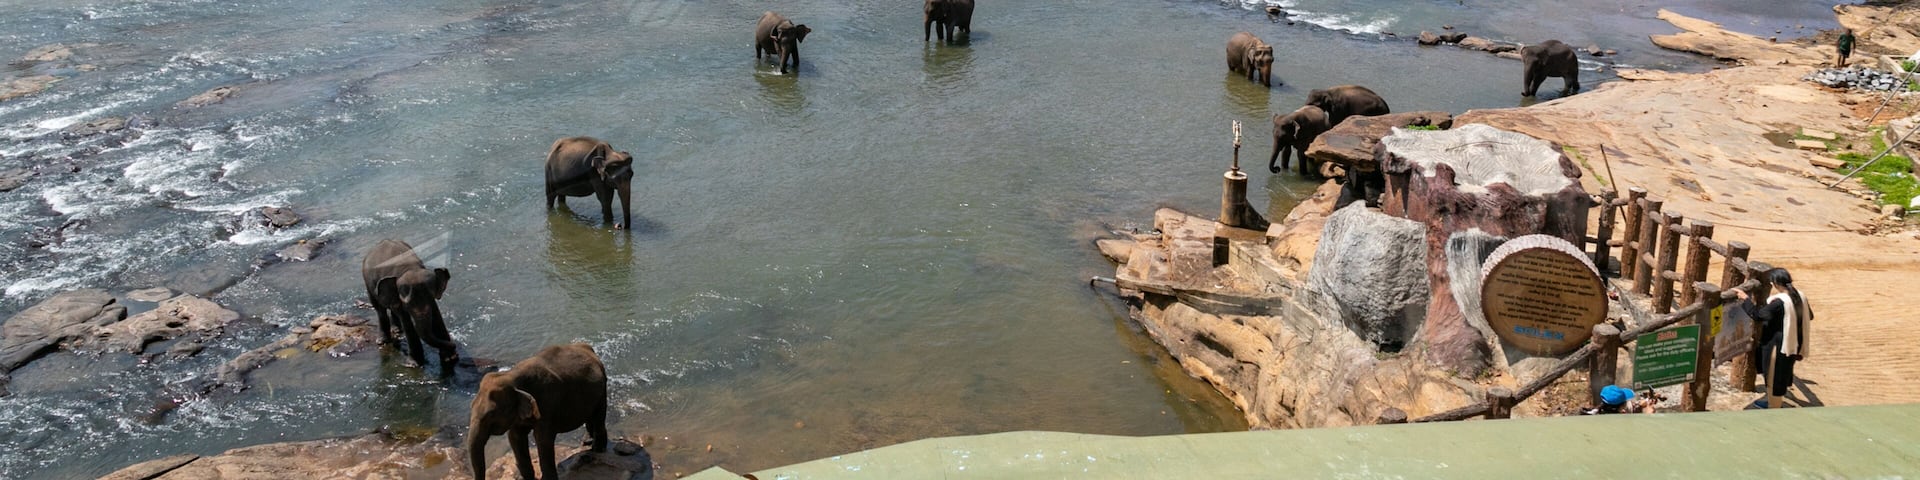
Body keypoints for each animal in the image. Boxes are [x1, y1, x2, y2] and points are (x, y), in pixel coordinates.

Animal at [468, 343, 610, 480]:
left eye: (491, 413)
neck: (512, 375)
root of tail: (589, 349)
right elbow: (515, 438)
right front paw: (527, 478)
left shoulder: (547, 403)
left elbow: (543, 439)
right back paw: (587, 442)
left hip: (603, 387)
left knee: (599, 416)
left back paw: (598, 449)